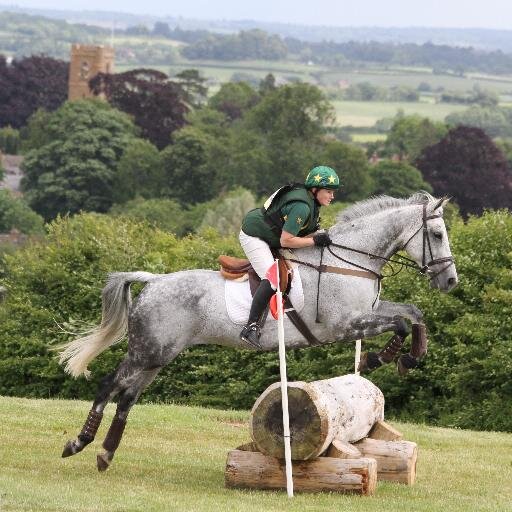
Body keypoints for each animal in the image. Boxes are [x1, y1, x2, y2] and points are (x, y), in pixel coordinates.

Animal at [58, 193, 458, 472]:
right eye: (437, 234)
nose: (450, 281)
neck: (351, 261)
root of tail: (153, 281)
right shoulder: (345, 324)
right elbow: (401, 322)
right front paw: (379, 358)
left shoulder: (369, 311)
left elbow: (413, 314)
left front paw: (411, 358)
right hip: (147, 351)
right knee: (109, 385)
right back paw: (78, 443)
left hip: (159, 354)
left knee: (127, 397)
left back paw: (106, 454)